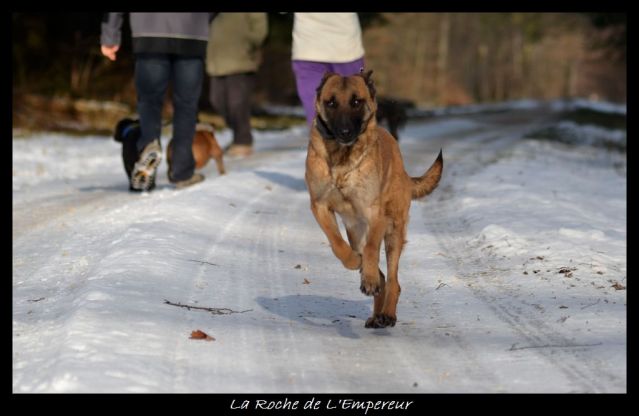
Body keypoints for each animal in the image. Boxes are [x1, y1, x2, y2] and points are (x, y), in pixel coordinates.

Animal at [306, 70, 444, 328]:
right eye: (331, 103)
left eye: (356, 101)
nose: (345, 132)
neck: (341, 159)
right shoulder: (320, 206)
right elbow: (336, 242)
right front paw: (353, 261)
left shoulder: (374, 215)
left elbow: (371, 250)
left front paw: (368, 278)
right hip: (356, 231)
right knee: (381, 276)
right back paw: (376, 311)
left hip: (393, 234)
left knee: (393, 281)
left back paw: (386, 314)